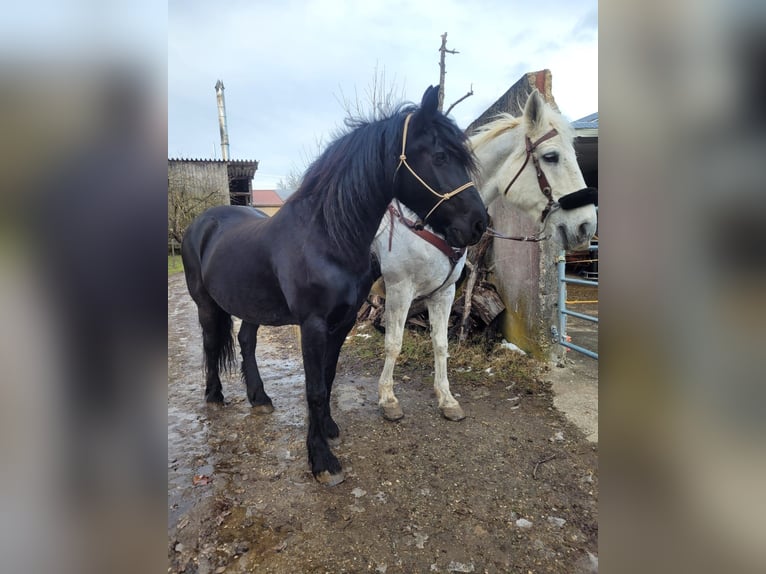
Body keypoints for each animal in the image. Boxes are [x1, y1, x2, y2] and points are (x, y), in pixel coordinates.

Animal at [181, 85, 489, 486]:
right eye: (439, 156)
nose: (479, 223)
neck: (326, 236)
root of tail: (202, 222)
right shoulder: (312, 324)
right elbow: (313, 387)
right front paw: (321, 460)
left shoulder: (341, 323)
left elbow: (327, 378)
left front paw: (328, 428)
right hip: (205, 305)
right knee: (210, 344)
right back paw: (215, 396)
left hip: (253, 306)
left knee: (246, 341)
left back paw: (259, 397)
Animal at [372, 89, 598, 422]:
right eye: (551, 156)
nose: (586, 225)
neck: (430, 221)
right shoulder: (400, 290)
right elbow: (393, 343)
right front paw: (388, 398)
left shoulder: (443, 292)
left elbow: (440, 344)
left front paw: (447, 399)